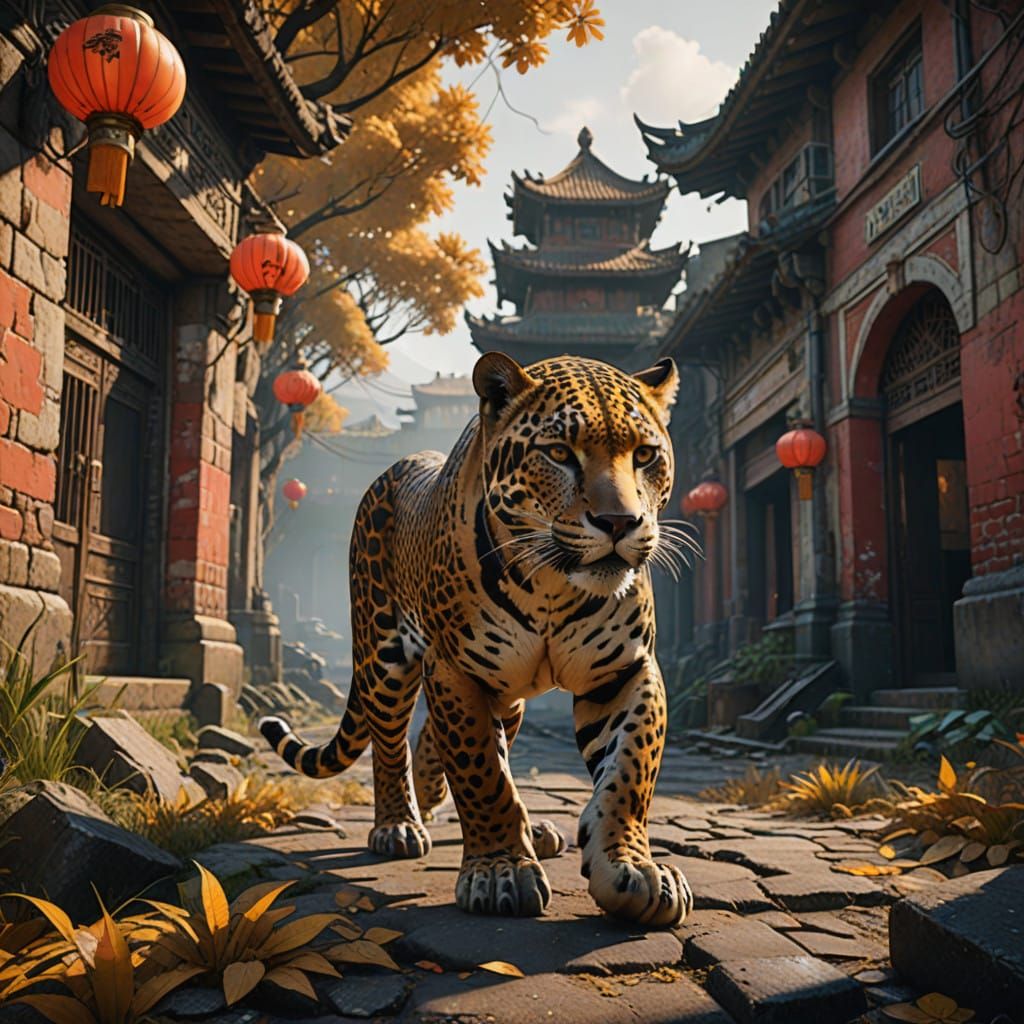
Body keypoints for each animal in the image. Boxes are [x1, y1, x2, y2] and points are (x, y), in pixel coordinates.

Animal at [260, 352, 698, 927]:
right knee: (389, 743)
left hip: (505, 692)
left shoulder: (624, 669)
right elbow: (482, 773)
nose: (620, 522)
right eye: (559, 453)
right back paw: (398, 825)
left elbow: (630, 772)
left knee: (448, 737)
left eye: (645, 455)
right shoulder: (454, 669)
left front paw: (634, 869)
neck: (552, 585)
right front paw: (499, 872)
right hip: (384, 659)